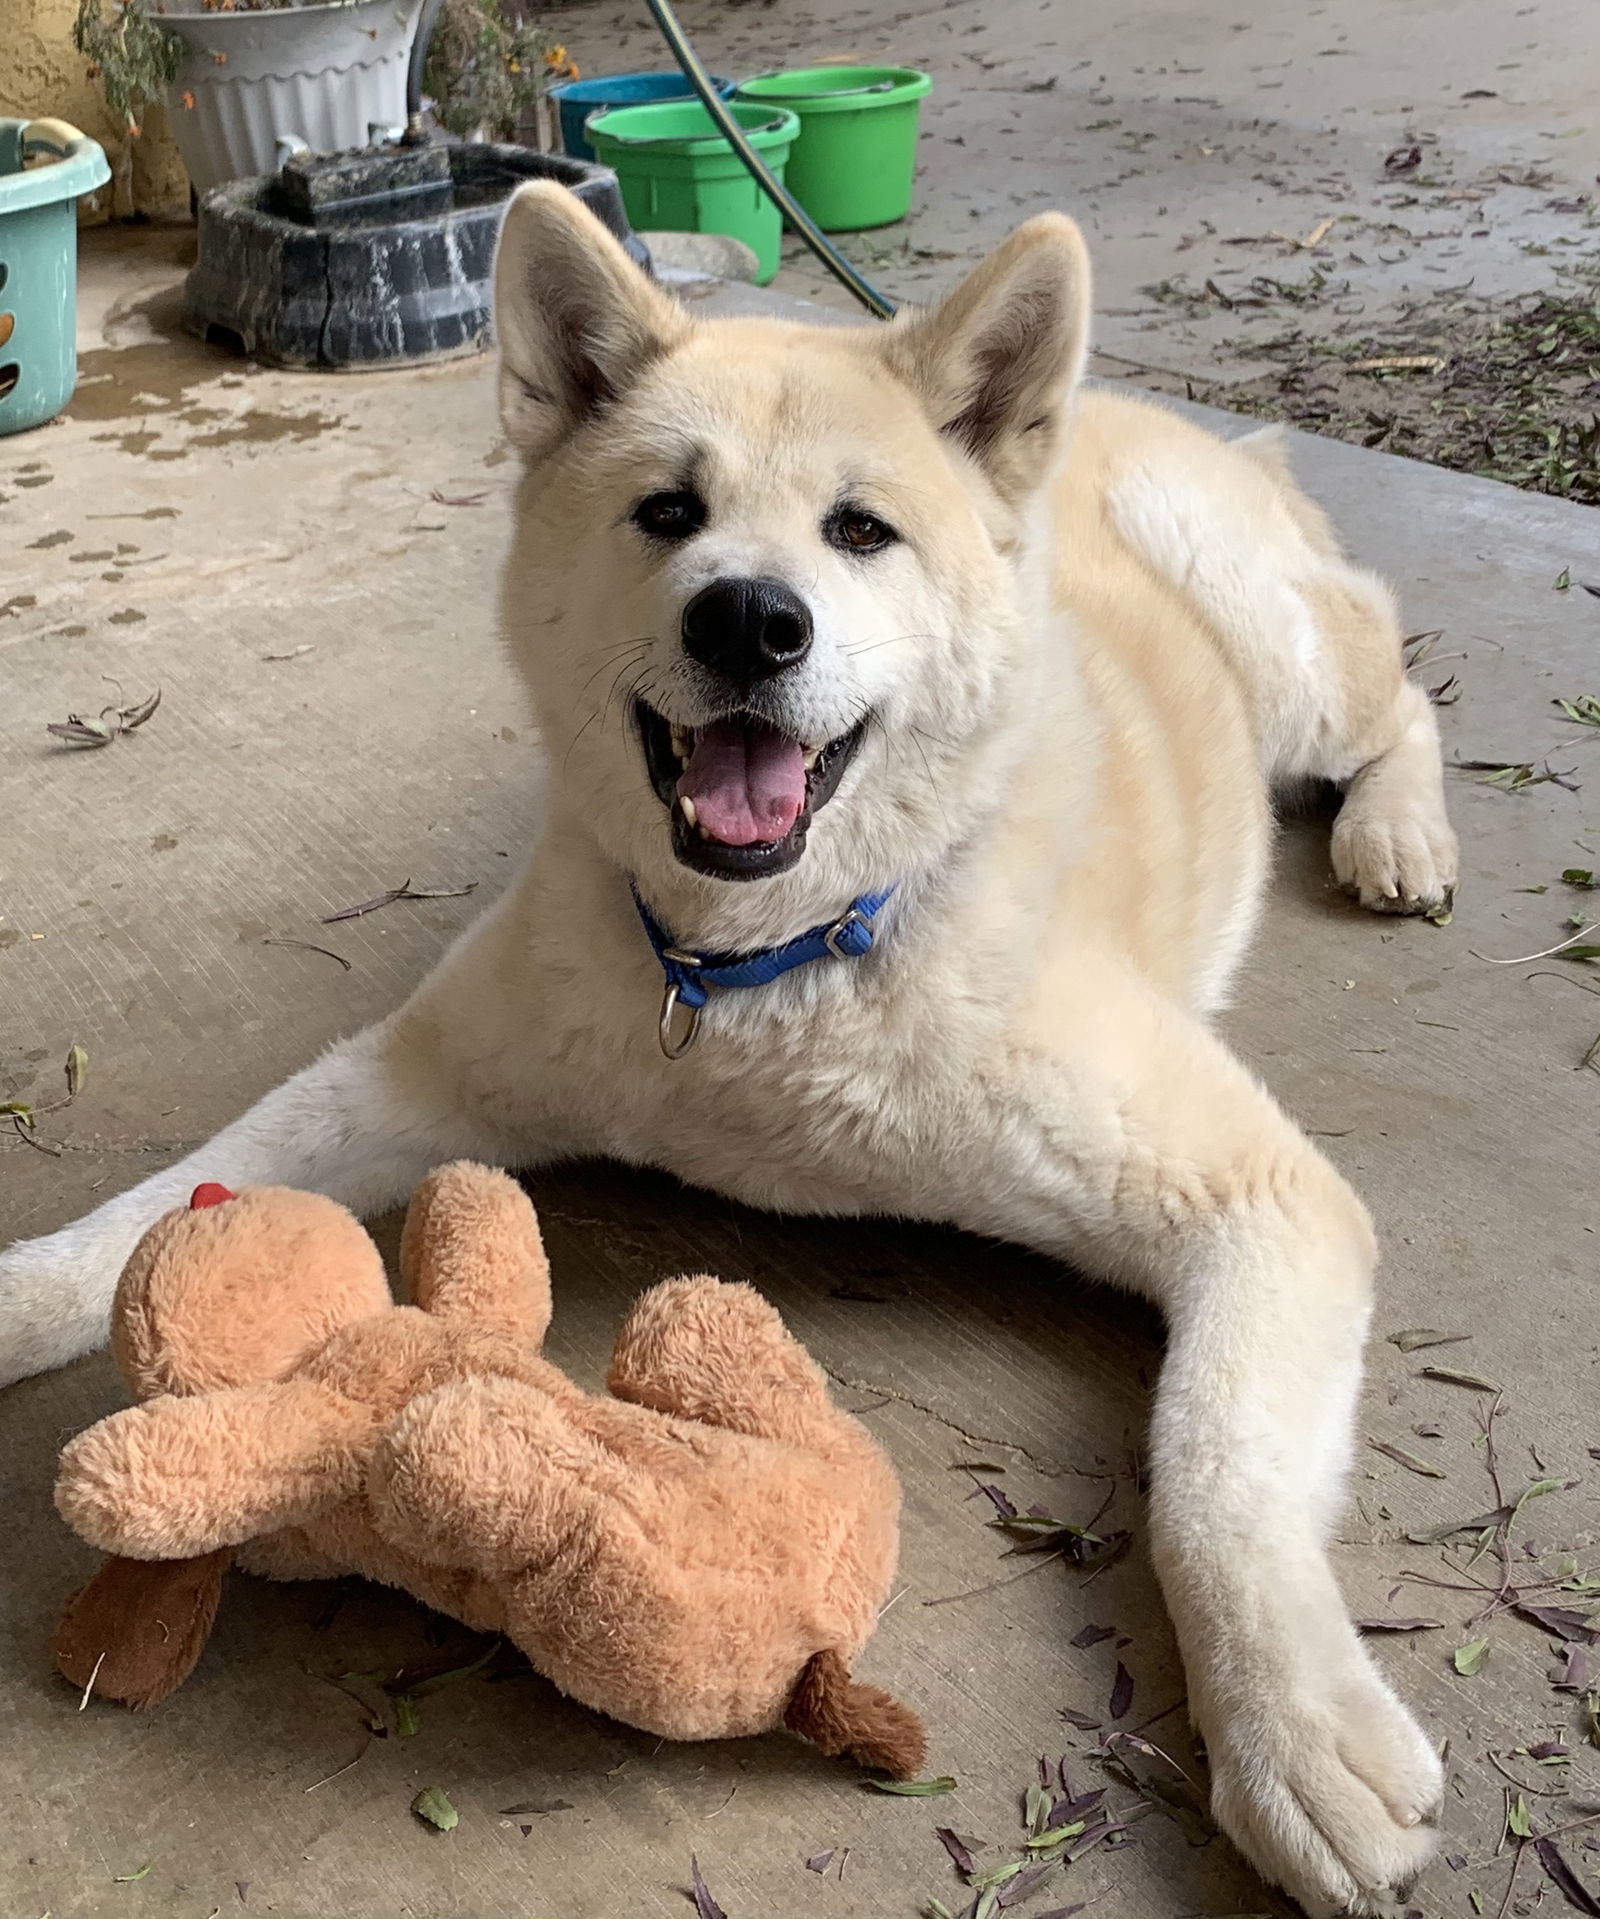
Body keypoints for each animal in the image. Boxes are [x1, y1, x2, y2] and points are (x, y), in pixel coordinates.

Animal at [0, 187, 1450, 1911]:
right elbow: (186, 1186)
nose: (750, 618)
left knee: (1399, 691)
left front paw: (1297, 1729)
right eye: (669, 511)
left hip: (1280, 656)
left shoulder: (1264, 1201)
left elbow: (1214, 1473)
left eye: (860, 532)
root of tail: (1143, 414)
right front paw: (23, 1287)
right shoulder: (424, 1072)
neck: (767, 970)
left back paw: (1398, 830)